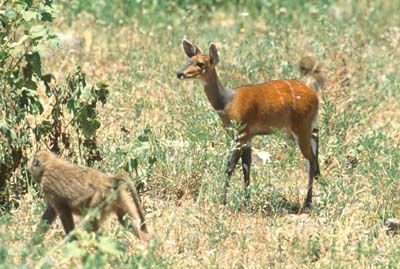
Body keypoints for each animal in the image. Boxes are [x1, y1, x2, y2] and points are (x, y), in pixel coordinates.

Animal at [177, 39, 320, 209]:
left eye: (200, 63)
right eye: (188, 60)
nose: (179, 73)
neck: (227, 102)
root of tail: (316, 97)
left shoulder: (241, 133)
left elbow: (229, 167)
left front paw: (223, 201)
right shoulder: (248, 137)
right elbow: (246, 167)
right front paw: (246, 202)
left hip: (300, 127)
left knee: (309, 159)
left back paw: (307, 202)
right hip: (300, 128)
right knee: (315, 137)